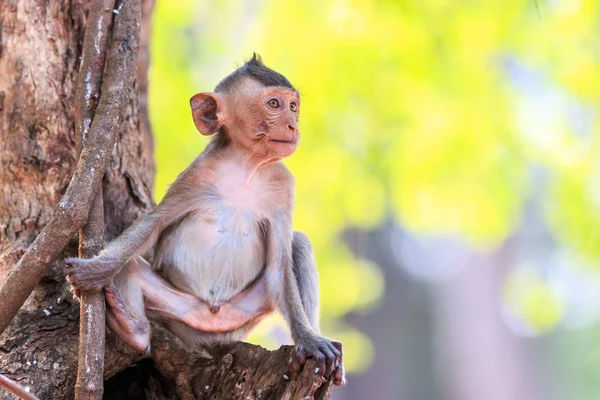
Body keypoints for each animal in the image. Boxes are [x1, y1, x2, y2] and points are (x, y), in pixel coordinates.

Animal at [64, 55, 342, 384]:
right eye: (274, 103)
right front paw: (93, 273)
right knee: (130, 267)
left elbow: (280, 264)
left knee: (298, 243)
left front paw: (309, 341)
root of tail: (213, 326)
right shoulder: (197, 174)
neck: (246, 167)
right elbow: (153, 226)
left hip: (241, 317)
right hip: (181, 314)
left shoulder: (284, 186)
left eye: (293, 106)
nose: (292, 124)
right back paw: (131, 328)